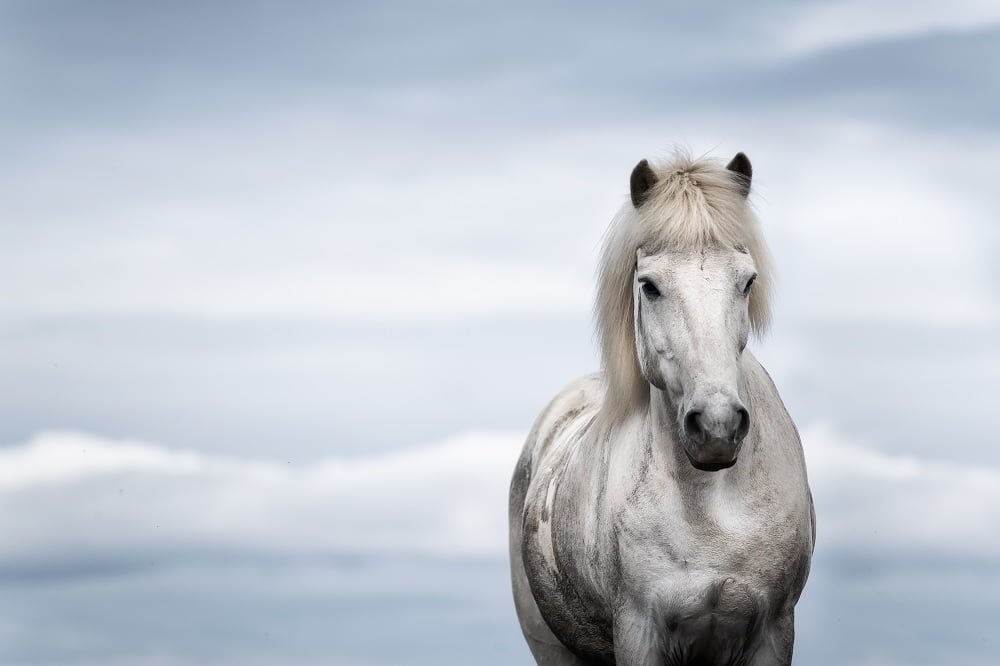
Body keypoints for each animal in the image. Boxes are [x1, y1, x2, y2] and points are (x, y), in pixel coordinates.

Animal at [509, 151, 815, 665]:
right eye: (649, 286)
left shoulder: (775, 632)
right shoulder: (639, 633)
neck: (711, 506)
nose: (717, 426)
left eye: (747, 281)